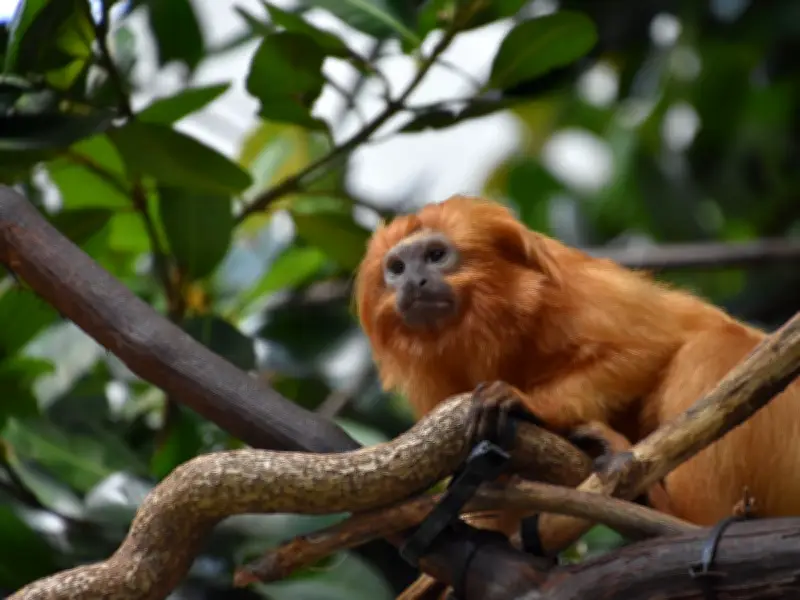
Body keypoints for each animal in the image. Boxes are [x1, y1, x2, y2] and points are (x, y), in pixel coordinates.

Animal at [354, 194, 799, 597]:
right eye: (396, 268)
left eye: (435, 255)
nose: (412, 281)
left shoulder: (577, 294)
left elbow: (645, 347)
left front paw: (528, 404)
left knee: (710, 348)